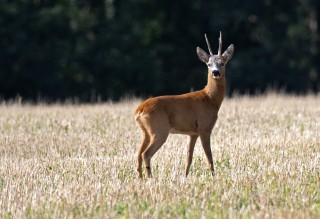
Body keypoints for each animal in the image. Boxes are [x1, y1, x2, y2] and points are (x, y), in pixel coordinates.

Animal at [134, 31, 234, 179]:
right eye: (208, 64)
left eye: (222, 63)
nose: (215, 72)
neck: (210, 99)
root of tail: (139, 110)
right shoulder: (204, 128)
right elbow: (209, 156)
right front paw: (213, 177)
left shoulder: (192, 133)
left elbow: (189, 157)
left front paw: (185, 176)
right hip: (160, 130)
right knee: (146, 154)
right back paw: (151, 178)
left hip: (145, 132)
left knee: (138, 154)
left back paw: (140, 179)